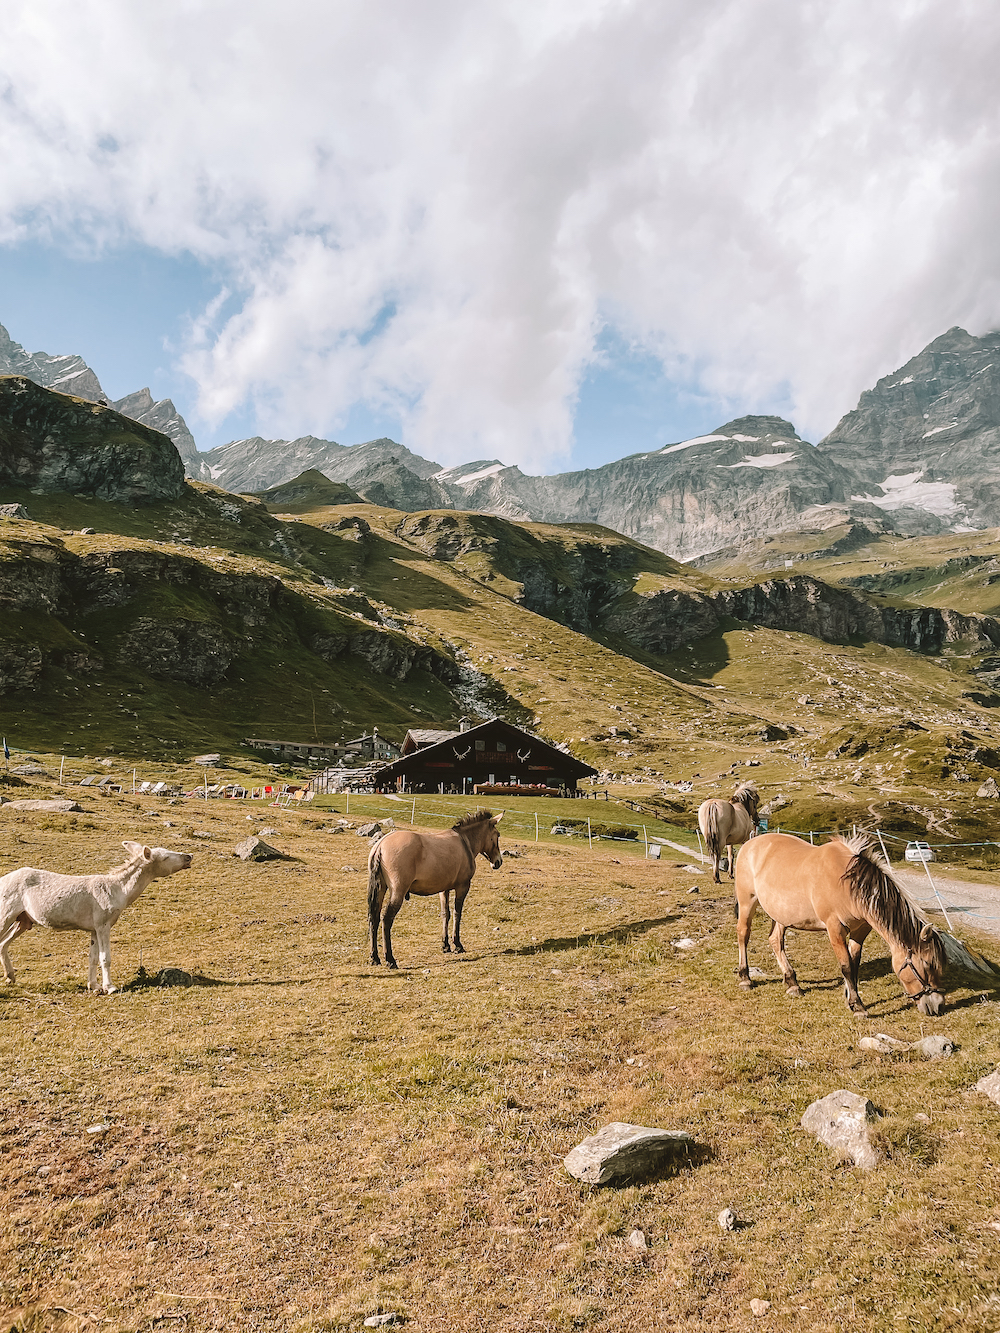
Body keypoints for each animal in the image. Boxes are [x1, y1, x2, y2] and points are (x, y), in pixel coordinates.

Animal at [0, 842, 193, 991]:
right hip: (6, 913)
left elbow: (92, 958)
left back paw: (10, 977)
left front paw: (94, 986)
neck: (119, 891)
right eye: (165, 857)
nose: (189, 856)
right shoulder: (103, 924)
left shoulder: (93, 928)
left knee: (3, 943)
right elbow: (105, 958)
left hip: (23, 920)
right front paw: (110, 987)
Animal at [368, 799, 504, 970]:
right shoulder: (463, 887)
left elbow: (445, 914)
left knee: (374, 917)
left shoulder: (444, 889)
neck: (465, 842)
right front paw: (457, 944)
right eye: (497, 835)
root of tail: (380, 845)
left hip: (381, 889)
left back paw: (374, 957)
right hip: (397, 892)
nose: (498, 862)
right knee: (386, 919)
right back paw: (390, 959)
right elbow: (457, 914)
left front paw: (445, 945)